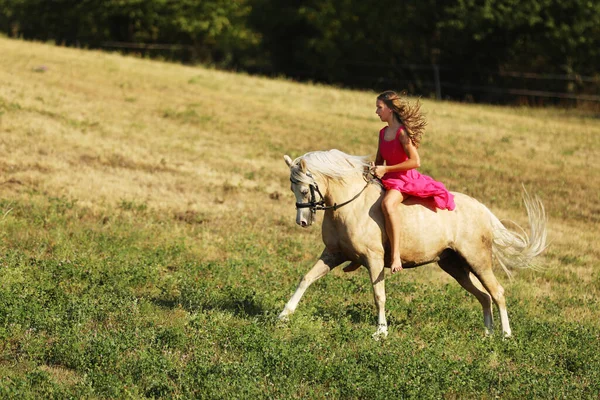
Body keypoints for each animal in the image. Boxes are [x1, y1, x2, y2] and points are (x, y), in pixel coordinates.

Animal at [278, 149, 548, 338]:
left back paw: (505, 335)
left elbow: (379, 295)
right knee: (483, 297)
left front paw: (381, 332)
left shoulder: (374, 260)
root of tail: (481, 209)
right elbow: (306, 279)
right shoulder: (333, 254)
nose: (302, 221)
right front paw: (283, 315)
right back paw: (487, 334)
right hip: (454, 266)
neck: (349, 205)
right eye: (292, 189)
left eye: (304, 190)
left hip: (477, 261)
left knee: (497, 292)